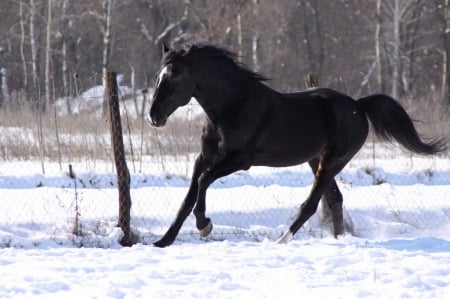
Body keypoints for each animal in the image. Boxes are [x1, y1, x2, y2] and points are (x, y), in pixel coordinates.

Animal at [149, 42, 446, 248]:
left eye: (175, 76)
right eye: (157, 76)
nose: (154, 116)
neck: (232, 107)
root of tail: (359, 106)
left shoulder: (238, 160)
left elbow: (203, 183)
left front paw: (205, 226)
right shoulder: (204, 158)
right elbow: (188, 198)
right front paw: (163, 241)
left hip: (333, 161)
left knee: (312, 204)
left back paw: (283, 240)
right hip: (318, 160)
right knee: (334, 199)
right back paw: (338, 240)